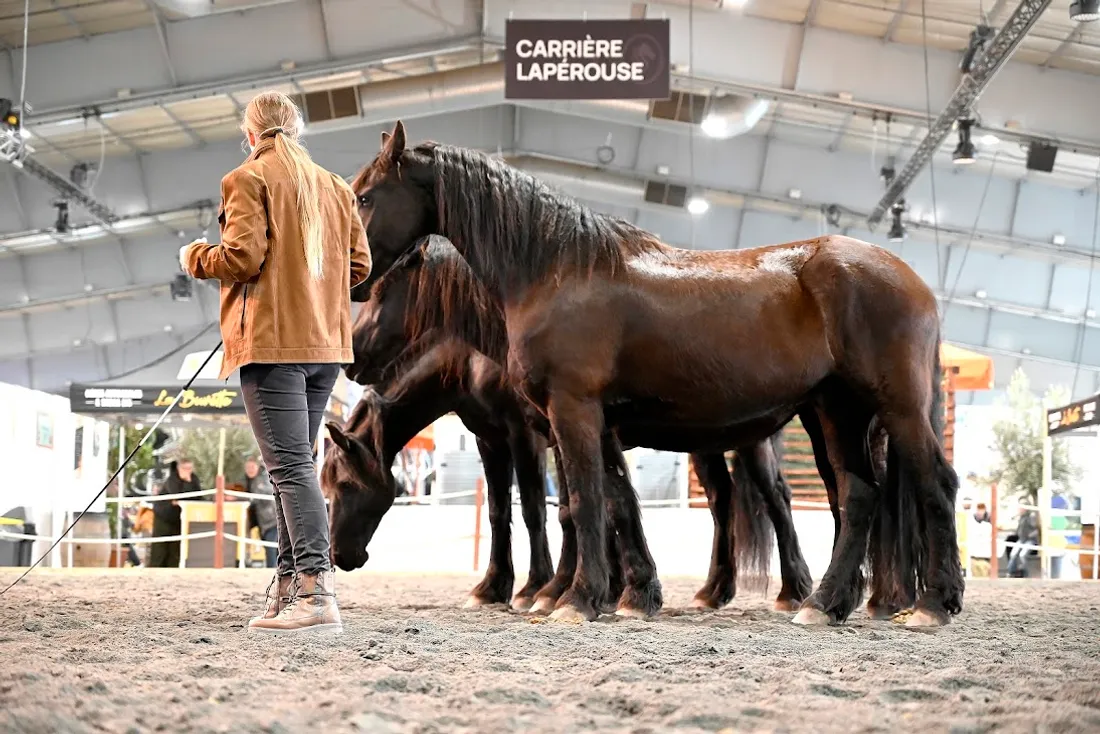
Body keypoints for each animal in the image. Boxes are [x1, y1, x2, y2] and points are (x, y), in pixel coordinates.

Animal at [332, 235, 813, 614]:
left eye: (344, 485)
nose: (340, 555)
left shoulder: (531, 433)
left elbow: (548, 508)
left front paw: (542, 589)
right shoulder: (496, 438)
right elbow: (511, 509)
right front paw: (502, 588)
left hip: (749, 442)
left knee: (776, 499)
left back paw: (794, 591)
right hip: (706, 441)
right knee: (721, 501)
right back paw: (714, 591)